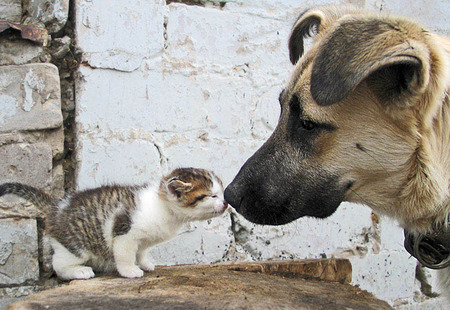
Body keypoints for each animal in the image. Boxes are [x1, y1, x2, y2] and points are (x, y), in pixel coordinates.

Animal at [0, 168, 227, 280]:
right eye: (212, 195)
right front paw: (130, 271)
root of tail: (57, 207)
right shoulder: (124, 232)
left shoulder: (143, 240)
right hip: (75, 246)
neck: (164, 207)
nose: (226, 203)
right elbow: (125, 256)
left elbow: (141, 252)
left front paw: (144, 263)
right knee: (59, 265)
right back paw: (79, 271)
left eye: (221, 193)